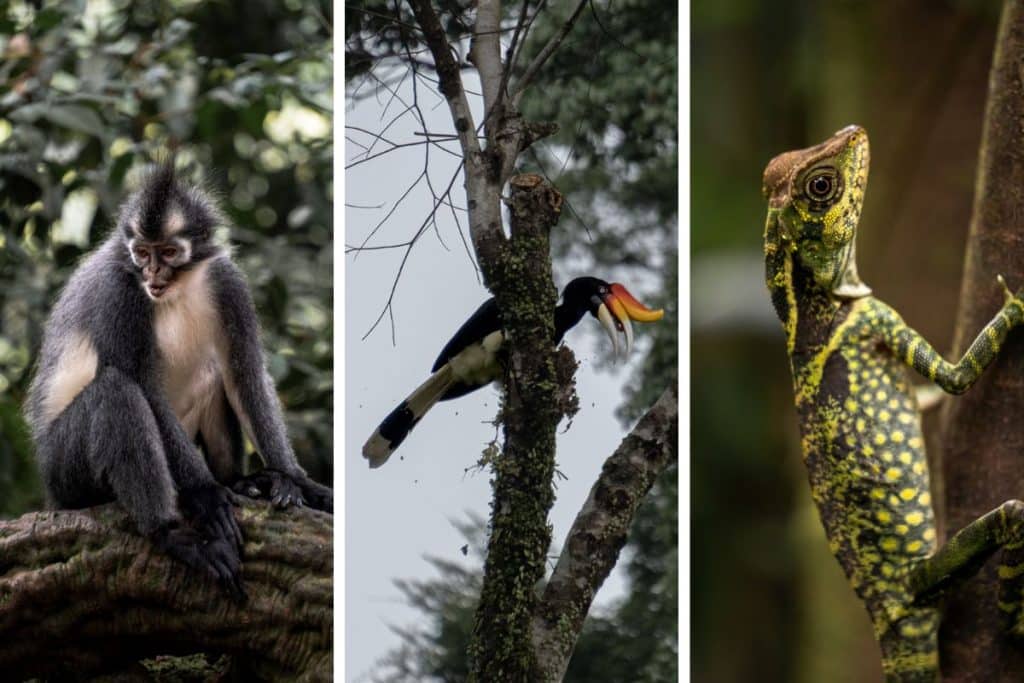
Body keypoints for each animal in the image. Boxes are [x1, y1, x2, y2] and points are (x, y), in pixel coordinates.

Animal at [24, 163, 333, 598]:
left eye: (169, 252)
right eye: (142, 253)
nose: (152, 271)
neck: (177, 290)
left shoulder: (227, 283)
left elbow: (245, 372)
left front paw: (295, 481)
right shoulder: (119, 291)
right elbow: (144, 389)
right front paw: (206, 495)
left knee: (213, 375)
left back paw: (240, 481)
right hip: (63, 470)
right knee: (116, 392)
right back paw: (171, 533)